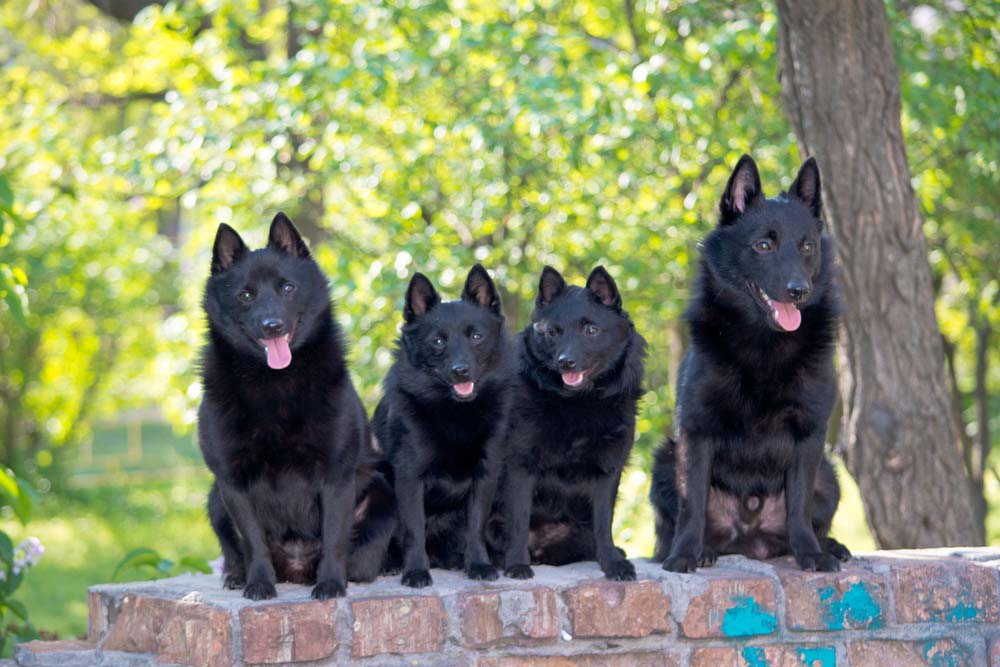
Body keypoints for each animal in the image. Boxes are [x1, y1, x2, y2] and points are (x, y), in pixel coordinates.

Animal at [197, 213, 396, 600]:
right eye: (245, 295)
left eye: (287, 288)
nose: (272, 326)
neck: (274, 383)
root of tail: (296, 568)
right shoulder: (232, 482)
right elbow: (253, 541)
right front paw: (259, 583)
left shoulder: (336, 476)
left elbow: (334, 538)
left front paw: (331, 584)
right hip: (214, 499)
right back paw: (236, 575)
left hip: (382, 493)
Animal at [376, 264, 516, 588]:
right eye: (438, 341)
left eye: (476, 336)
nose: (460, 370)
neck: (455, 411)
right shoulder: (409, 477)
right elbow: (413, 530)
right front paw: (415, 571)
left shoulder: (485, 475)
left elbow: (475, 527)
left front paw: (478, 565)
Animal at [494, 264, 648, 580]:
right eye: (553, 332)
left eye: (591, 330)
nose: (565, 362)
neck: (578, 401)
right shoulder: (520, 466)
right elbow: (518, 520)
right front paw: (516, 564)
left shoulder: (608, 470)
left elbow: (604, 522)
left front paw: (611, 562)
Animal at [648, 155, 852, 576]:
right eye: (763, 245)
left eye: (807, 246)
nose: (799, 290)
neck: (763, 344)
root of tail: (748, 540)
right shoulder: (696, 432)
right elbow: (692, 504)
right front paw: (684, 554)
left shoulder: (809, 436)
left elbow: (799, 506)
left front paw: (810, 553)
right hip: (664, 461)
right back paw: (701, 549)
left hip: (829, 473)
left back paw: (828, 545)